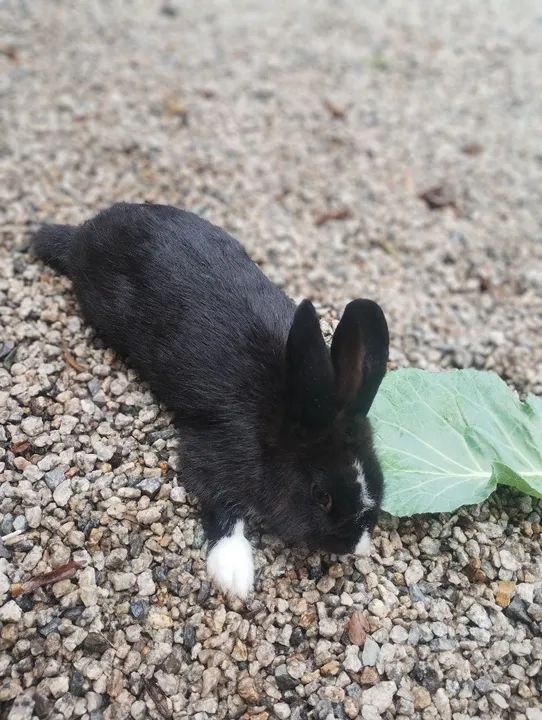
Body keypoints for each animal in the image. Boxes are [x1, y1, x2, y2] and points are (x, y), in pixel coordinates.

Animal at [32, 202, 389, 599]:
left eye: (379, 478)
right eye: (321, 495)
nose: (355, 545)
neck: (278, 415)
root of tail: (85, 233)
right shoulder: (213, 451)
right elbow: (221, 503)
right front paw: (234, 573)